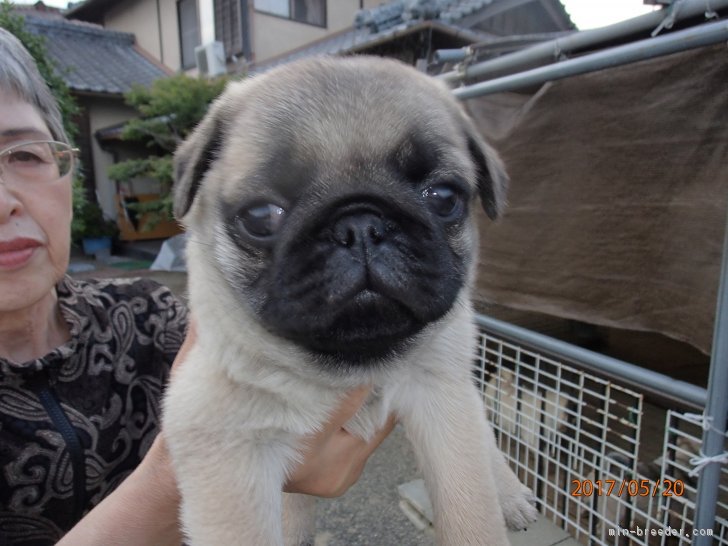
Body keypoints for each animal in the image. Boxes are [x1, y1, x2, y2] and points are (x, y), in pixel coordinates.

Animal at [163, 55, 538, 545]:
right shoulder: (225, 444)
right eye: (261, 216)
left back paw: (509, 493)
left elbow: (471, 508)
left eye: (443, 197)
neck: (350, 362)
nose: (360, 225)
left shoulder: (442, 396)